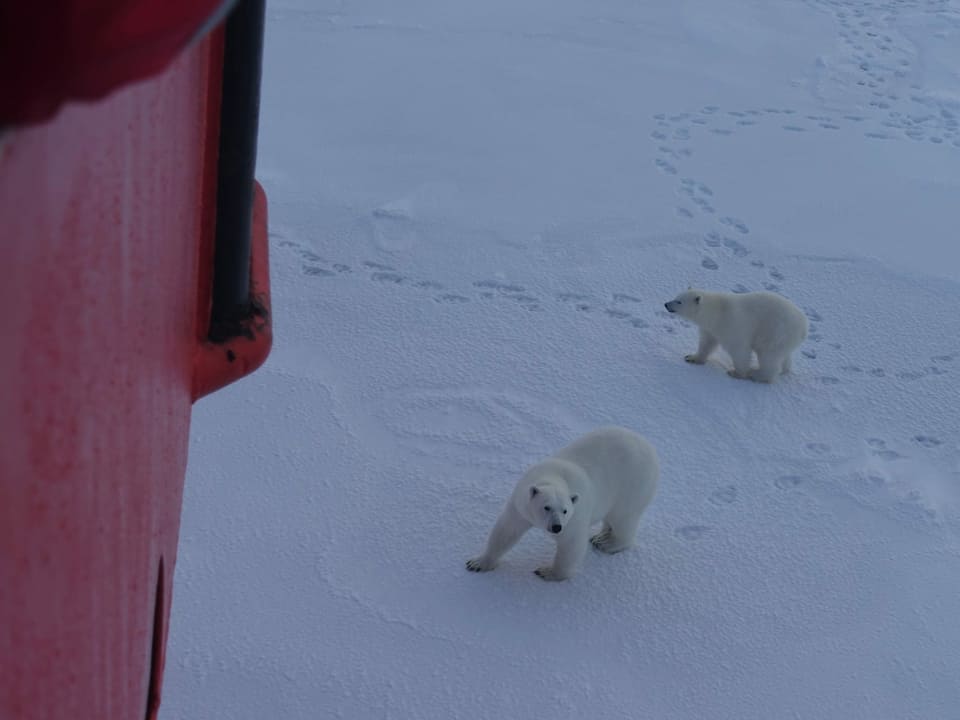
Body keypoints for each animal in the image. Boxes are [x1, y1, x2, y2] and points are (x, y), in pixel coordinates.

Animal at [464, 424, 660, 584]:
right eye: (546, 507)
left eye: (565, 511)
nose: (556, 527)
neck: (553, 476)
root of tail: (649, 447)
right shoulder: (520, 505)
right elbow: (506, 531)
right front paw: (478, 563)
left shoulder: (575, 516)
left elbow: (571, 544)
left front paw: (547, 572)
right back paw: (600, 536)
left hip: (633, 483)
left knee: (623, 517)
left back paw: (608, 544)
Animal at [668, 286, 808, 382]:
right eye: (676, 297)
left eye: (679, 302)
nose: (666, 304)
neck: (715, 312)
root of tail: (803, 327)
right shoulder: (710, 329)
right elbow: (706, 343)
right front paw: (692, 358)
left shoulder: (732, 325)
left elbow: (739, 350)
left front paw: (737, 373)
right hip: (784, 339)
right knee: (783, 355)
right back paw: (785, 369)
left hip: (775, 331)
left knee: (769, 356)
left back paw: (756, 374)